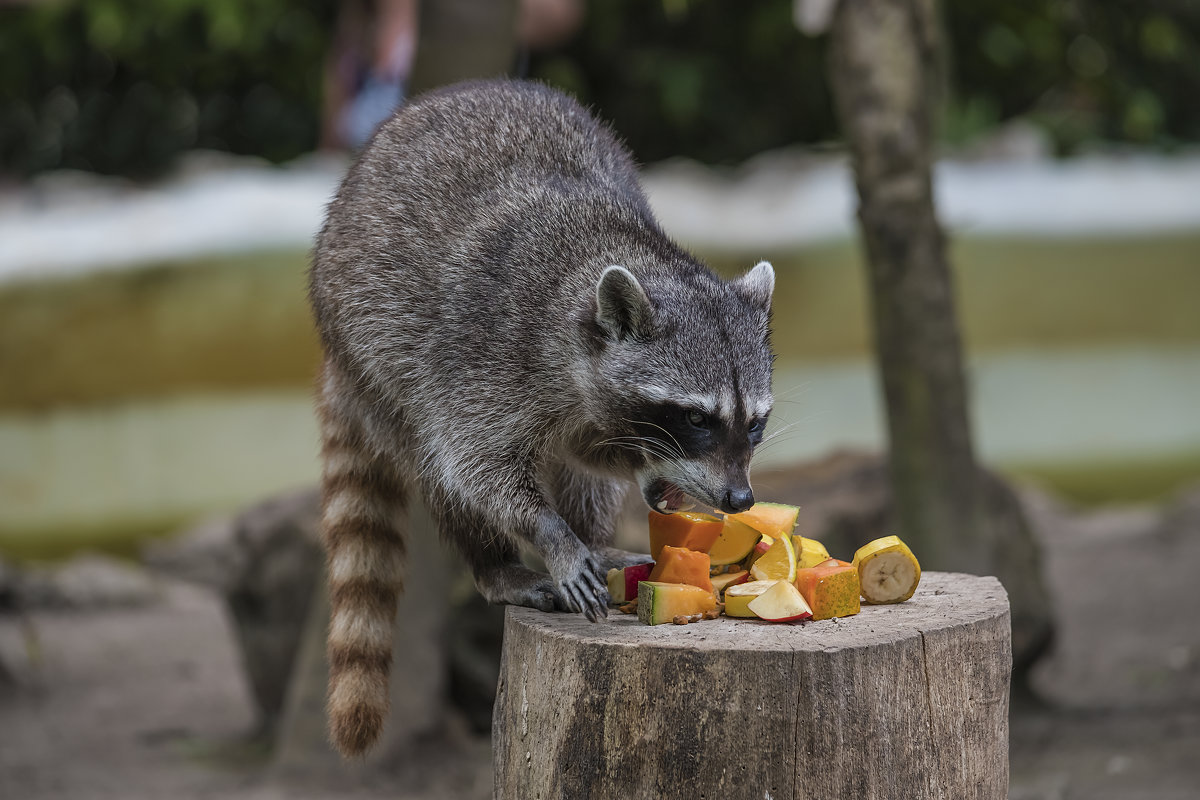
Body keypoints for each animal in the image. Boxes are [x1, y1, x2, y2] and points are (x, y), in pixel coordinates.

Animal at [309, 81, 772, 758]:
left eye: (754, 423)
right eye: (696, 419)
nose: (739, 498)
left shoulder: (595, 407)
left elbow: (594, 455)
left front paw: (640, 480)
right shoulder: (488, 355)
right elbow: (474, 465)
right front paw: (550, 532)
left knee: (583, 479)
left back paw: (594, 536)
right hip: (371, 344)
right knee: (435, 462)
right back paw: (496, 562)